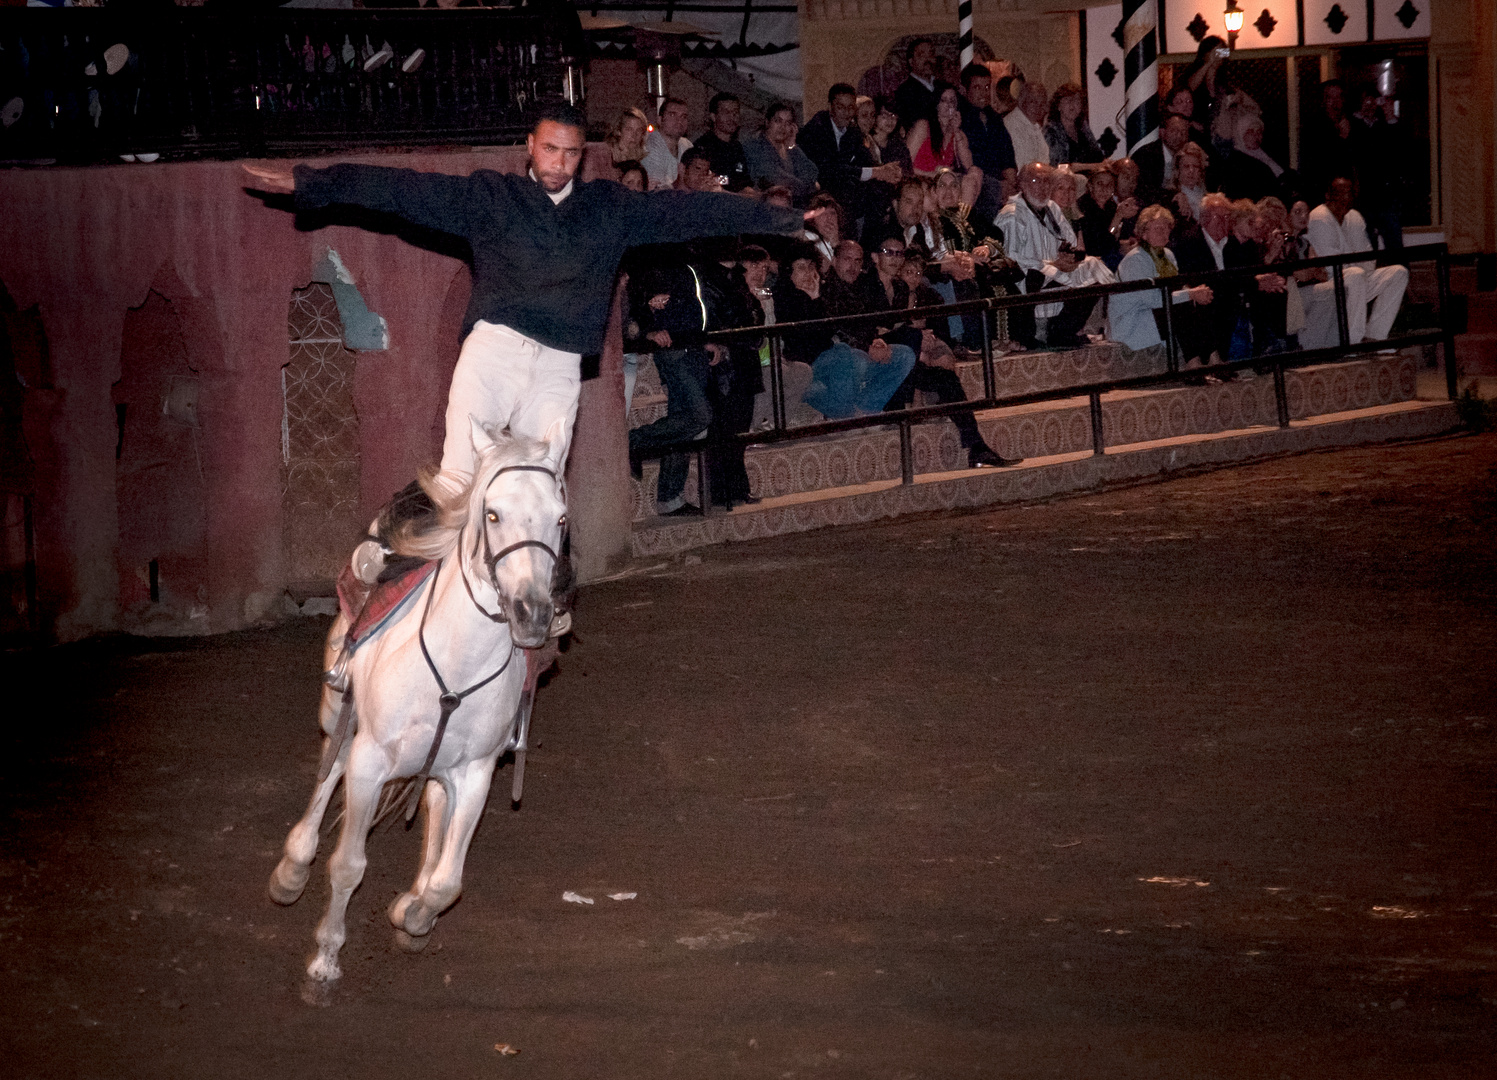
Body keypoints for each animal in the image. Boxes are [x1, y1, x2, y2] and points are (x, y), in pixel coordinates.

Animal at [269, 416, 565, 982]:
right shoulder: (370, 760)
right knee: (327, 772)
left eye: (560, 519)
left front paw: (412, 915)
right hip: (339, 715)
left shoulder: (474, 771)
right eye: (492, 514)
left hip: (439, 764)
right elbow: (347, 865)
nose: (533, 614)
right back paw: (291, 868)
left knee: (433, 806)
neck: (455, 662)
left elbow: (447, 881)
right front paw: (325, 957)